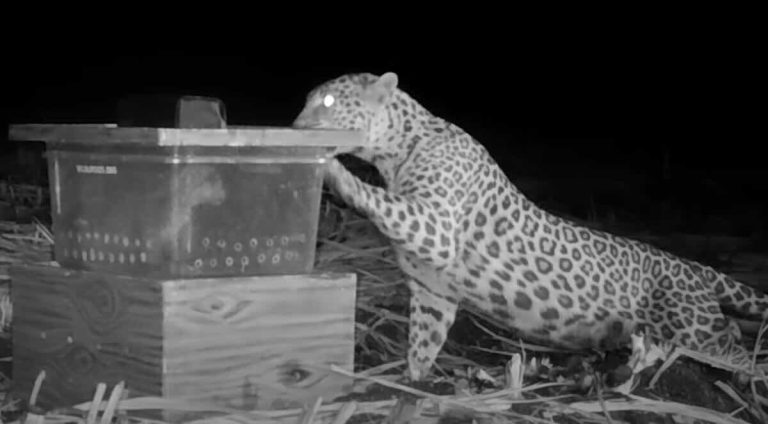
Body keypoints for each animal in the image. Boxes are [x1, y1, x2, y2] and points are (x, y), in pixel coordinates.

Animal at [292, 71, 768, 382]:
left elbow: (374, 196)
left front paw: (331, 166)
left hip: (694, 327)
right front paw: (413, 382)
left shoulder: (435, 226)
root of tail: (692, 265)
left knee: (730, 342)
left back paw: (749, 377)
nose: (295, 126)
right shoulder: (434, 293)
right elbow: (423, 341)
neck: (397, 149)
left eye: (328, 103)